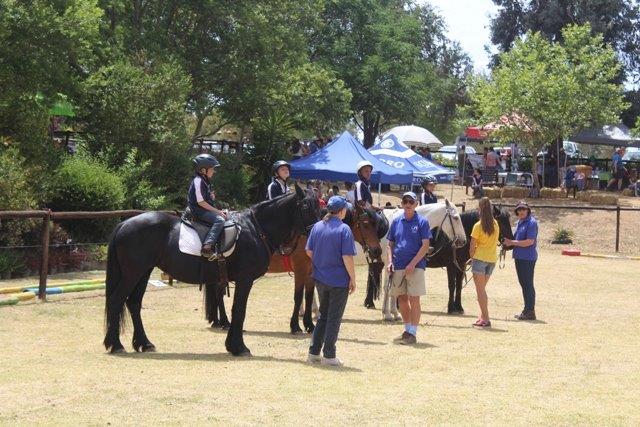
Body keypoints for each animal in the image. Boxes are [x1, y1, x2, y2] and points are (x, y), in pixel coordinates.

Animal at [103, 186, 320, 356]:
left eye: (320, 207)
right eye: (305, 206)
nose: (316, 233)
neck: (255, 229)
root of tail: (124, 223)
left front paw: (232, 345)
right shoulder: (245, 279)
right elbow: (239, 310)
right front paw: (238, 347)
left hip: (143, 272)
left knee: (133, 303)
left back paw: (143, 343)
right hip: (132, 274)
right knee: (116, 301)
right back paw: (116, 344)